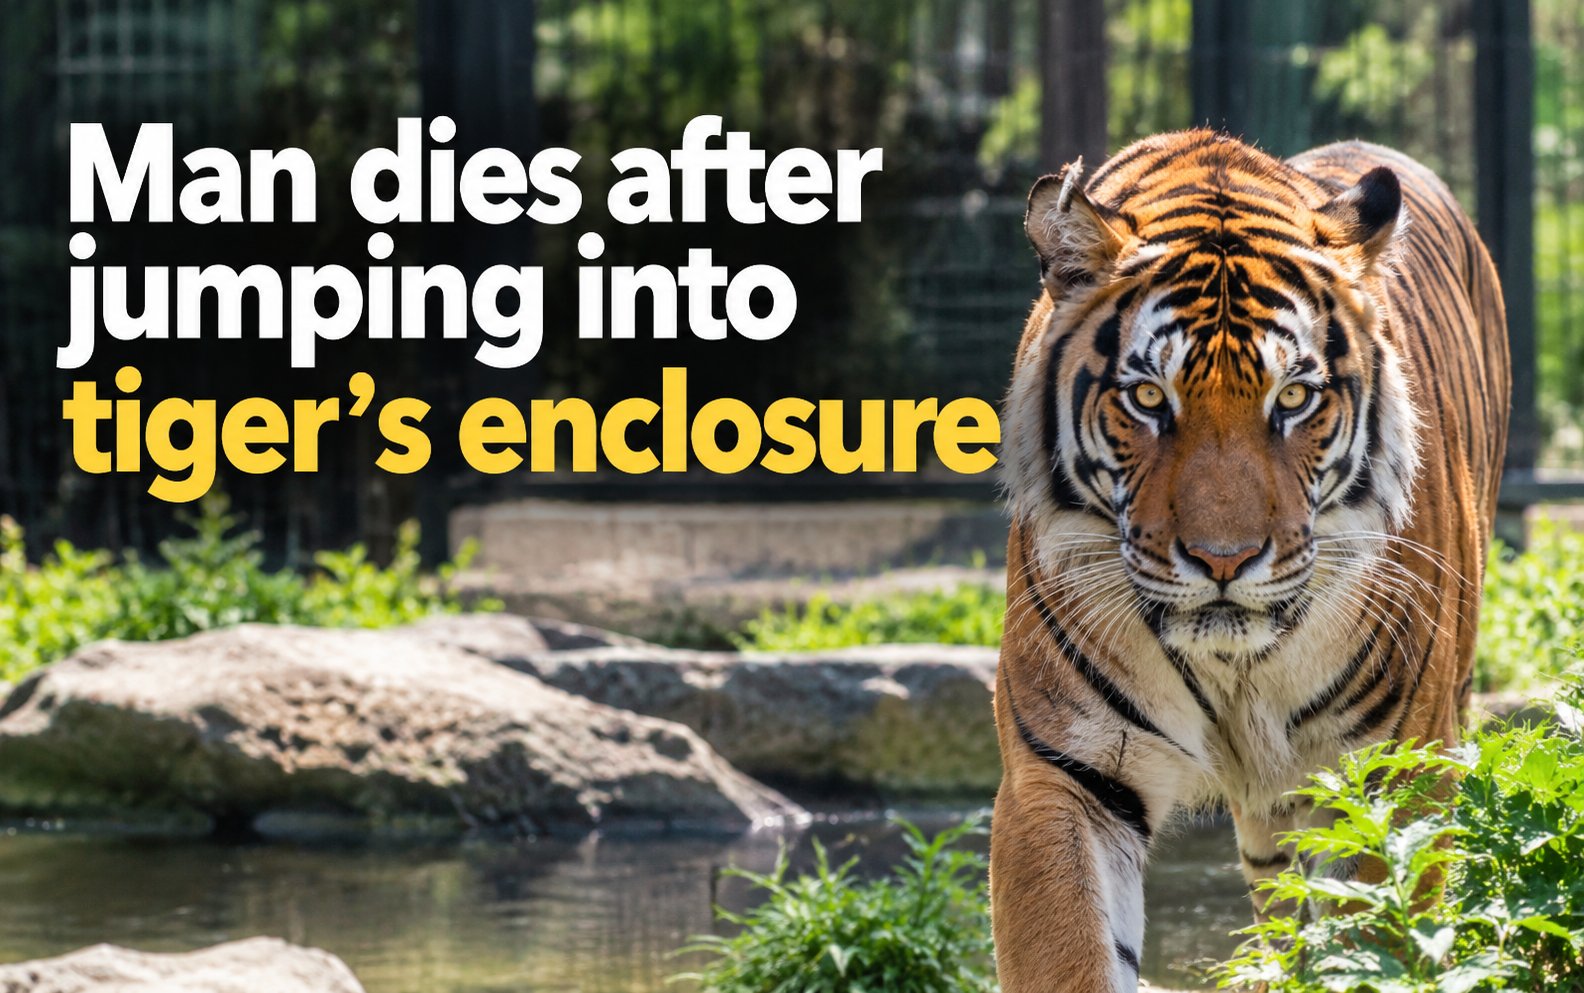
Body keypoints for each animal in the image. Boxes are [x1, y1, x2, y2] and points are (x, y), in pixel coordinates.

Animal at [991, 129, 1510, 992]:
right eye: (1148, 399)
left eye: (1294, 399)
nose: (1223, 559)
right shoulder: (1067, 772)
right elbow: (1071, 955)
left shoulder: (1391, 771)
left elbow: (1378, 941)